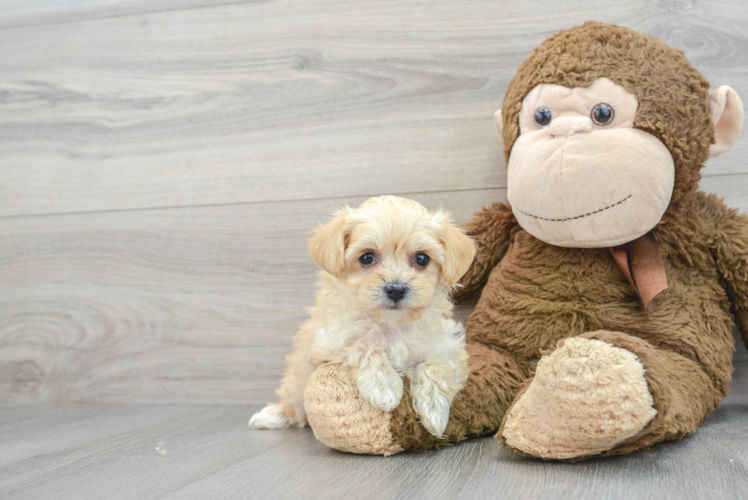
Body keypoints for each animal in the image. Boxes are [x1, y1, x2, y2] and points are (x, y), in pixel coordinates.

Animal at [248, 195, 476, 438]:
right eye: (367, 257)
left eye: (422, 259)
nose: (396, 289)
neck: (391, 324)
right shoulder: (330, 341)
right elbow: (363, 343)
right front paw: (384, 388)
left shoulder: (449, 349)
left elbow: (437, 368)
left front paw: (434, 411)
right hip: (296, 382)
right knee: (293, 406)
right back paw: (271, 416)